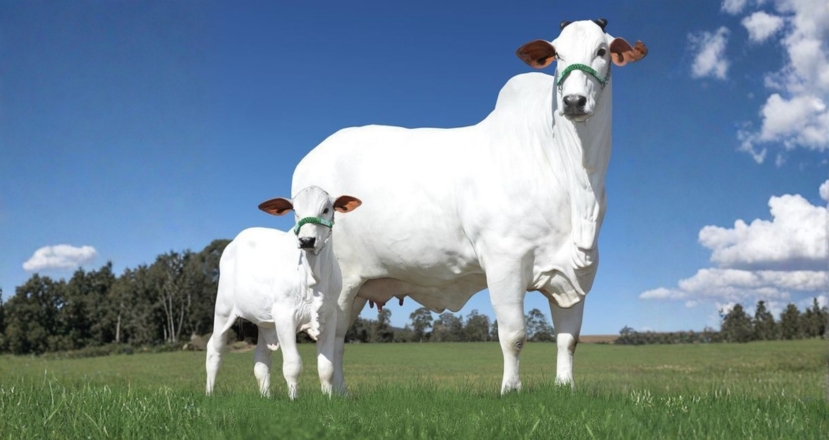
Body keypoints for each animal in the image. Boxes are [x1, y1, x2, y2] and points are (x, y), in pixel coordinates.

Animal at [205, 186, 361, 399]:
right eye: (295, 211)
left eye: (326, 209)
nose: (306, 240)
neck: (313, 276)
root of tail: (236, 241)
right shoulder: (285, 316)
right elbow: (293, 364)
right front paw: (294, 398)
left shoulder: (329, 316)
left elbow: (326, 367)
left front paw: (328, 397)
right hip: (223, 310)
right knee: (215, 349)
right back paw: (209, 393)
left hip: (264, 322)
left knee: (261, 359)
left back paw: (266, 396)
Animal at [291, 19, 647, 393]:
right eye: (557, 55)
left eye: (602, 50)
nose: (573, 101)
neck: (576, 182)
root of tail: (309, 158)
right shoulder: (505, 262)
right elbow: (514, 335)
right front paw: (510, 388)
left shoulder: (575, 274)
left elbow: (568, 339)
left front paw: (565, 387)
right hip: (341, 282)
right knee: (330, 335)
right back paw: (330, 391)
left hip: (361, 287)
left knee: (340, 337)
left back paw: (342, 392)